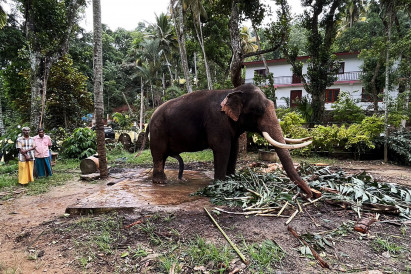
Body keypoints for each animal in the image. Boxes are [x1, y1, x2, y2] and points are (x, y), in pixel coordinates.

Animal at [148, 83, 316, 197]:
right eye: (259, 110)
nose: (311, 195)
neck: (232, 91)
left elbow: (234, 148)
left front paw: (232, 179)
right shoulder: (216, 121)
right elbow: (222, 148)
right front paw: (220, 184)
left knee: (162, 156)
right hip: (158, 131)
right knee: (159, 154)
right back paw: (161, 182)